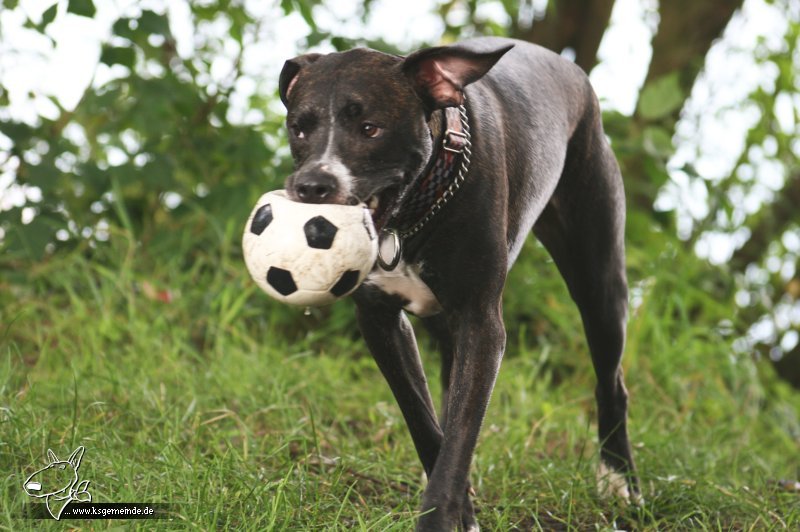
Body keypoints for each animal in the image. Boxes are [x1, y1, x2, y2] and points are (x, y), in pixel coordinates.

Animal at [278, 36, 640, 528]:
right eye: (299, 128)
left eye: (370, 129)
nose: (313, 185)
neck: (415, 209)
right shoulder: (380, 321)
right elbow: (425, 418)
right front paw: (459, 505)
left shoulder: (480, 324)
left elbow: (461, 429)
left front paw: (442, 515)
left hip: (599, 279)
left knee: (611, 381)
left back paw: (618, 478)